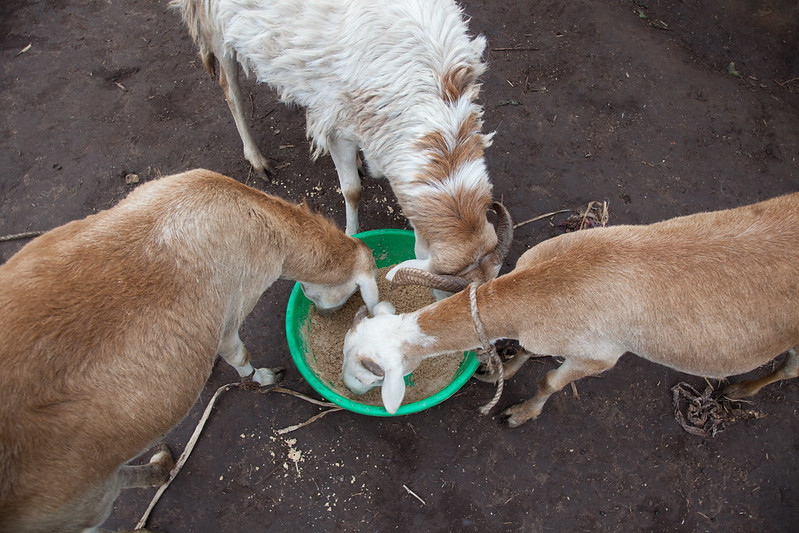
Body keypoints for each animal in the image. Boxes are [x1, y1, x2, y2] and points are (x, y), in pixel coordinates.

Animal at [0, 168, 382, 528]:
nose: (326, 314)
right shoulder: (230, 312)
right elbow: (239, 355)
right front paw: (263, 378)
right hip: (80, 500)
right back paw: (160, 466)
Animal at [174, 0, 512, 282]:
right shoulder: (336, 125)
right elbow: (351, 191)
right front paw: (351, 235)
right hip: (218, 29)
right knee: (230, 90)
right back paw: (256, 159)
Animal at [342, 191, 799, 424]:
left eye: (368, 372)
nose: (347, 389)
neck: (555, 281)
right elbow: (528, 349)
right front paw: (502, 373)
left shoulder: (599, 355)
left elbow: (549, 382)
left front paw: (519, 414)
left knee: (791, 367)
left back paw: (740, 390)